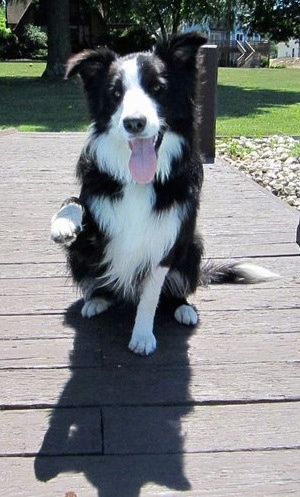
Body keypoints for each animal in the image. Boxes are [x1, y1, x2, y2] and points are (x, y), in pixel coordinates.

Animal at [49, 31, 278, 354]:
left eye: (157, 88)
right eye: (115, 93)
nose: (134, 123)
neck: (138, 181)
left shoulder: (165, 243)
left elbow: (149, 299)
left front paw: (143, 336)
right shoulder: (95, 230)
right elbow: (73, 201)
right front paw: (62, 225)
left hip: (193, 245)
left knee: (173, 293)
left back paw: (183, 309)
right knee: (104, 284)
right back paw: (98, 300)